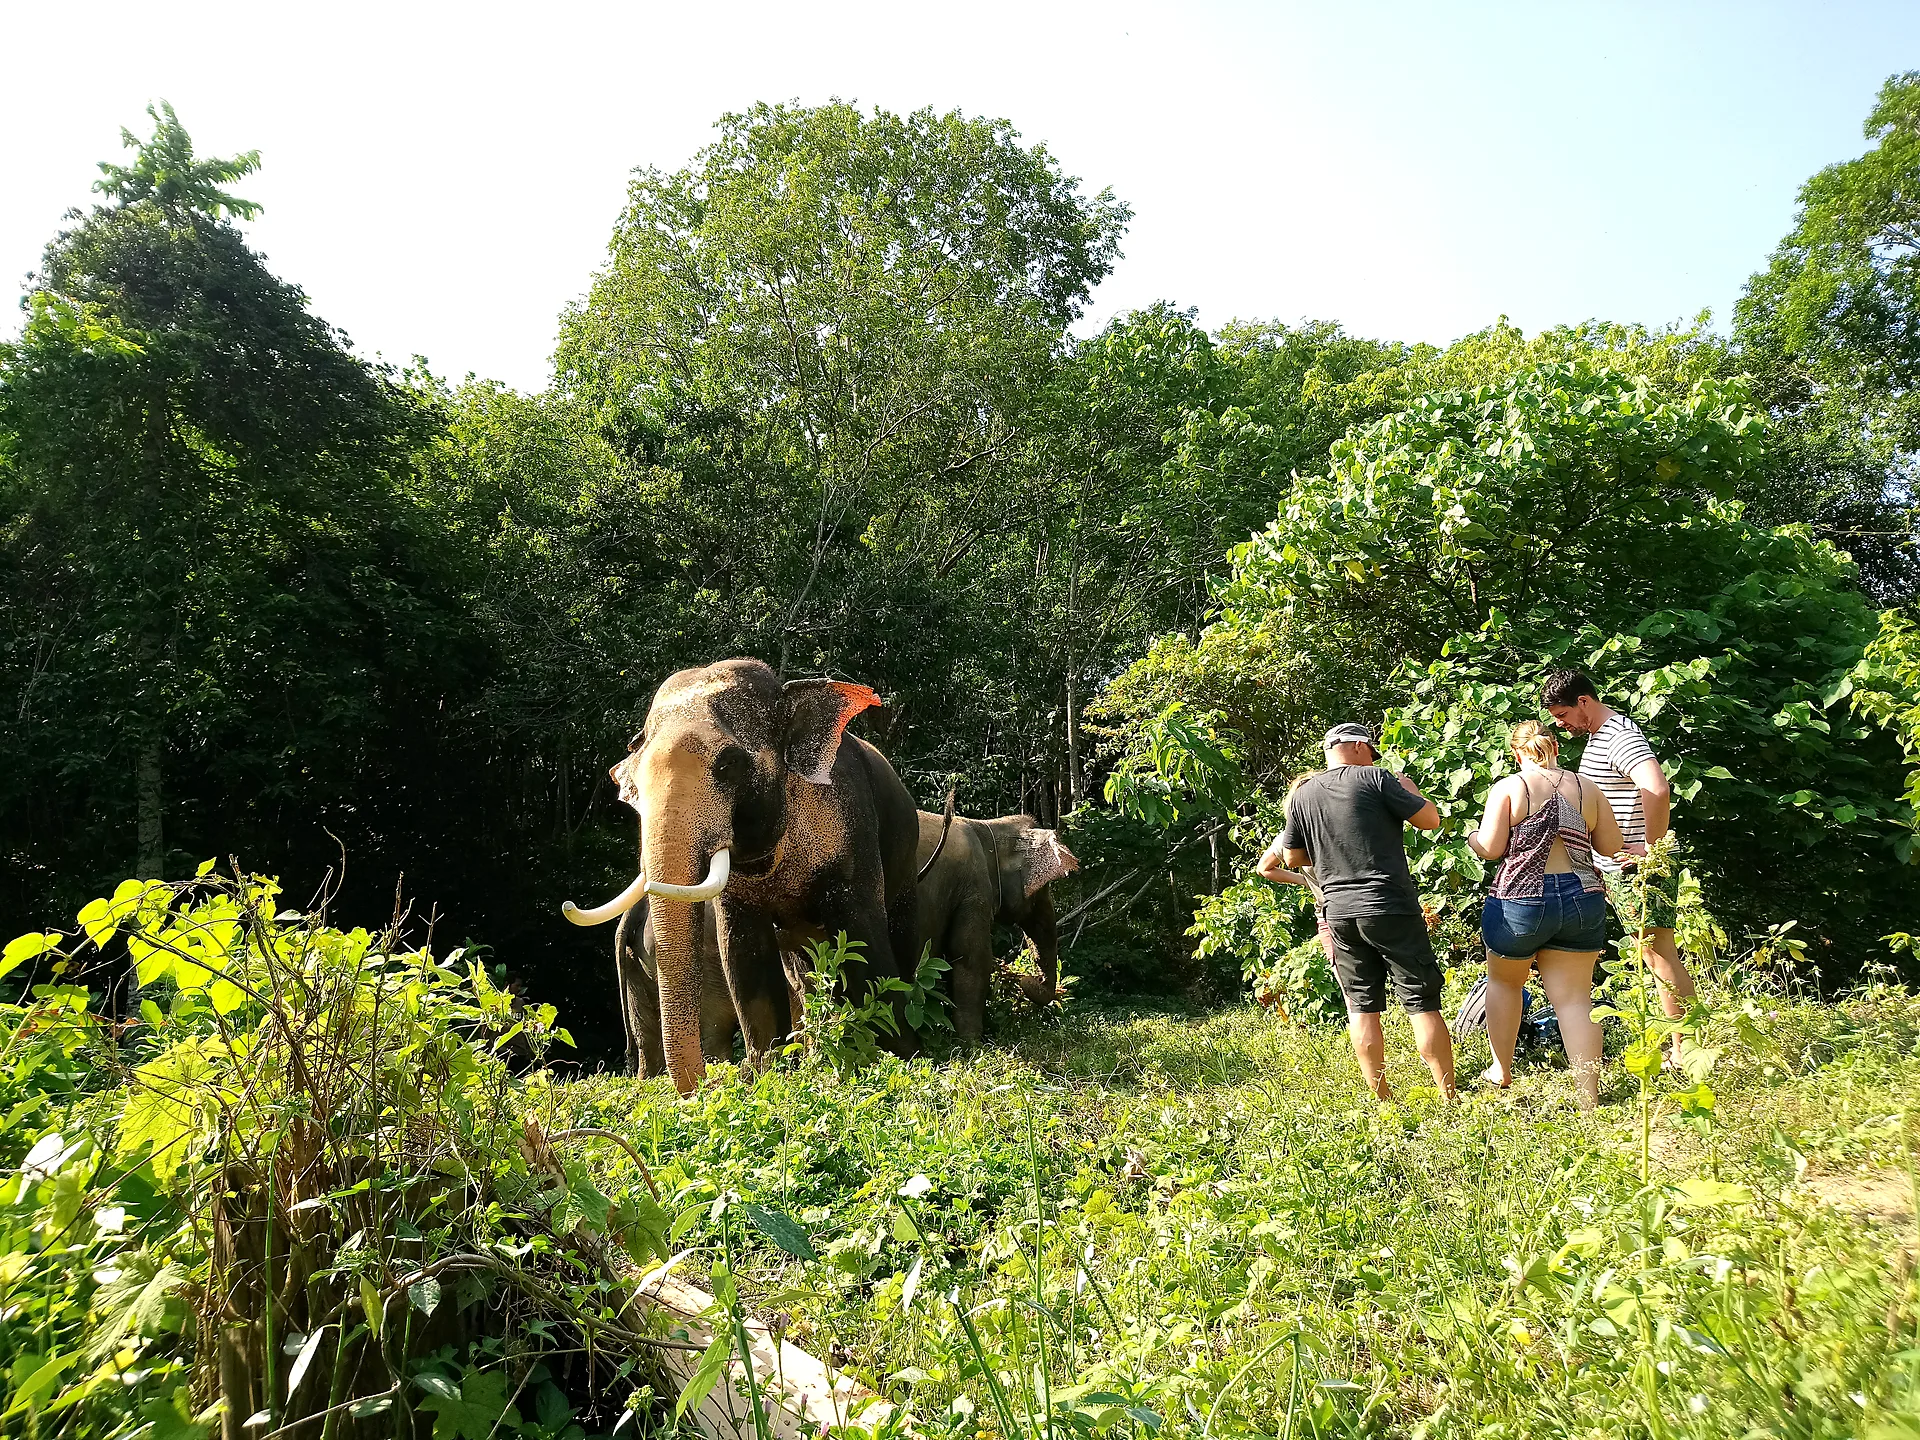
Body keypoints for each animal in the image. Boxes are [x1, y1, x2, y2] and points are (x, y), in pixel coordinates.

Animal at [563, 658, 923, 1094]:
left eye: (729, 764)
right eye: (634, 780)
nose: (710, 1084)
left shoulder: (850, 822)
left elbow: (862, 935)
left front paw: (899, 1062)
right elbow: (742, 953)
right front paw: (771, 1078)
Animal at [914, 810, 1079, 1043]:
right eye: (1041, 891)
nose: (1026, 978)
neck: (988, 827)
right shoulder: (974, 891)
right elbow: (972, 958)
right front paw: (973, 1042)